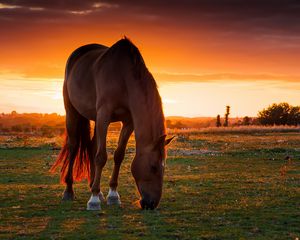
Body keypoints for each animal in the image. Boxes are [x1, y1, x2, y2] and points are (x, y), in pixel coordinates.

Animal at [50, 37, 173, 210]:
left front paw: (112, 195)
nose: (151, 203)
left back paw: (96, 189)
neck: (123, 77)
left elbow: (118, 155)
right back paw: (69, 191)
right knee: (73, 147)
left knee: (92, 146)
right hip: (72, 112)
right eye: (153, 167)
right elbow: (101, 156)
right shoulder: (104, 115)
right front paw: (93, 200)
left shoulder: (128, 122)